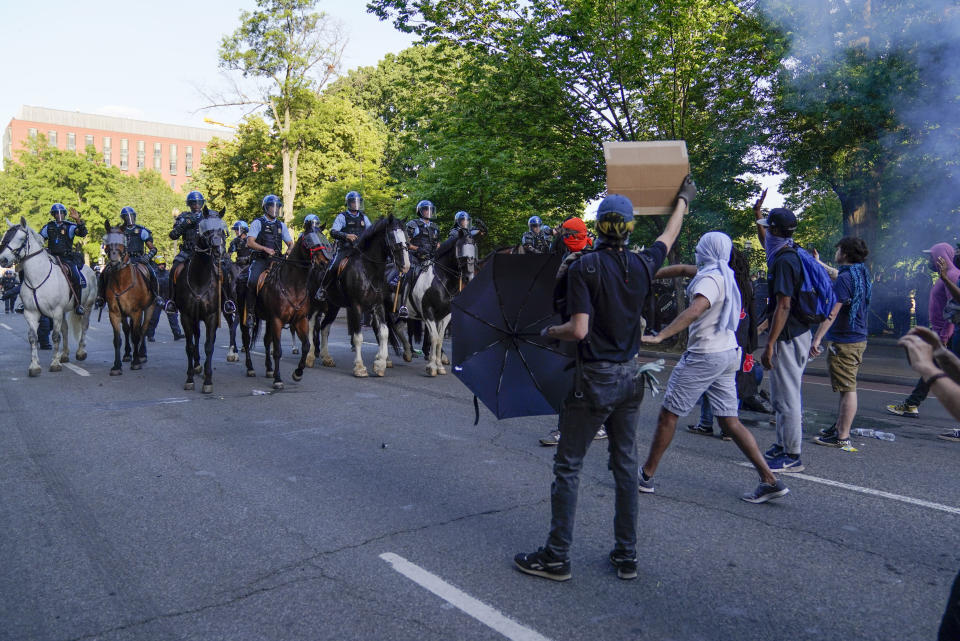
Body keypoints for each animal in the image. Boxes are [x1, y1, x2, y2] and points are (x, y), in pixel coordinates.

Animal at [0, 218, 97, 376]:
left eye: (21, 238)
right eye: (4, 237)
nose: (3, 259)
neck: (38, 277)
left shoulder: (56, 312)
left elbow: (55, 336)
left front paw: (55, 364)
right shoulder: (31, 313)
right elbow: (33, 338)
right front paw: (34, 366)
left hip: (87, 306)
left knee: (84, 326)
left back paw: (80, 352)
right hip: (64, 311)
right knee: (65, 329)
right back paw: (64, 354)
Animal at [101, 225, 156, 376]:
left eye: (122, 240)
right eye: (107, 240)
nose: (114, 259)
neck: (122, 282)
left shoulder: (137, 312)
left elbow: (136, 335)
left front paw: (136, 362)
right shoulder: (114, 313)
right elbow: (117, 339)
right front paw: (116, 366)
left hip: (149, 308)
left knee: (143, 329)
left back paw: (142, 354)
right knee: (127, 330)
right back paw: (127, 354)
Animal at [171, 210, 227, 392]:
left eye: (222, 229)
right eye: (206, 230)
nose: (218, 250)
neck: (200, 279)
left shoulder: (211, 316)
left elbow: (209, 346)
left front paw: (208, 380)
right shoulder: (186, 316)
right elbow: (189, 346)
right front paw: (189, 378)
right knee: (195, 337)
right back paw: (196, 366)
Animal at [242, 222, 332, 388]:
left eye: (323, 238)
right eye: (309, 241)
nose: (324, 263)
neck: (293, 285)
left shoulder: (300, 320)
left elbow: (306, 346)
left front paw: (298, 373)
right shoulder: (277, 320)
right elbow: (277, 350)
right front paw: (278, 379)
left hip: (268, 320)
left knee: (266, 341)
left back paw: (269, 369)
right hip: (242, 315)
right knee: (246, 339)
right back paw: (250, 368)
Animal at [316, 215, 404, 376]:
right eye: (392, 236)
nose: (404, 264)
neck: (369, 270)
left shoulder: (378, 305)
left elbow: (384, 332)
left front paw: (380, 365)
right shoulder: (356, 306)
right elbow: (358, 337)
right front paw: (359, 367)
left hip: (333, 306)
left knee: (324, 327)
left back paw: (327, 358)